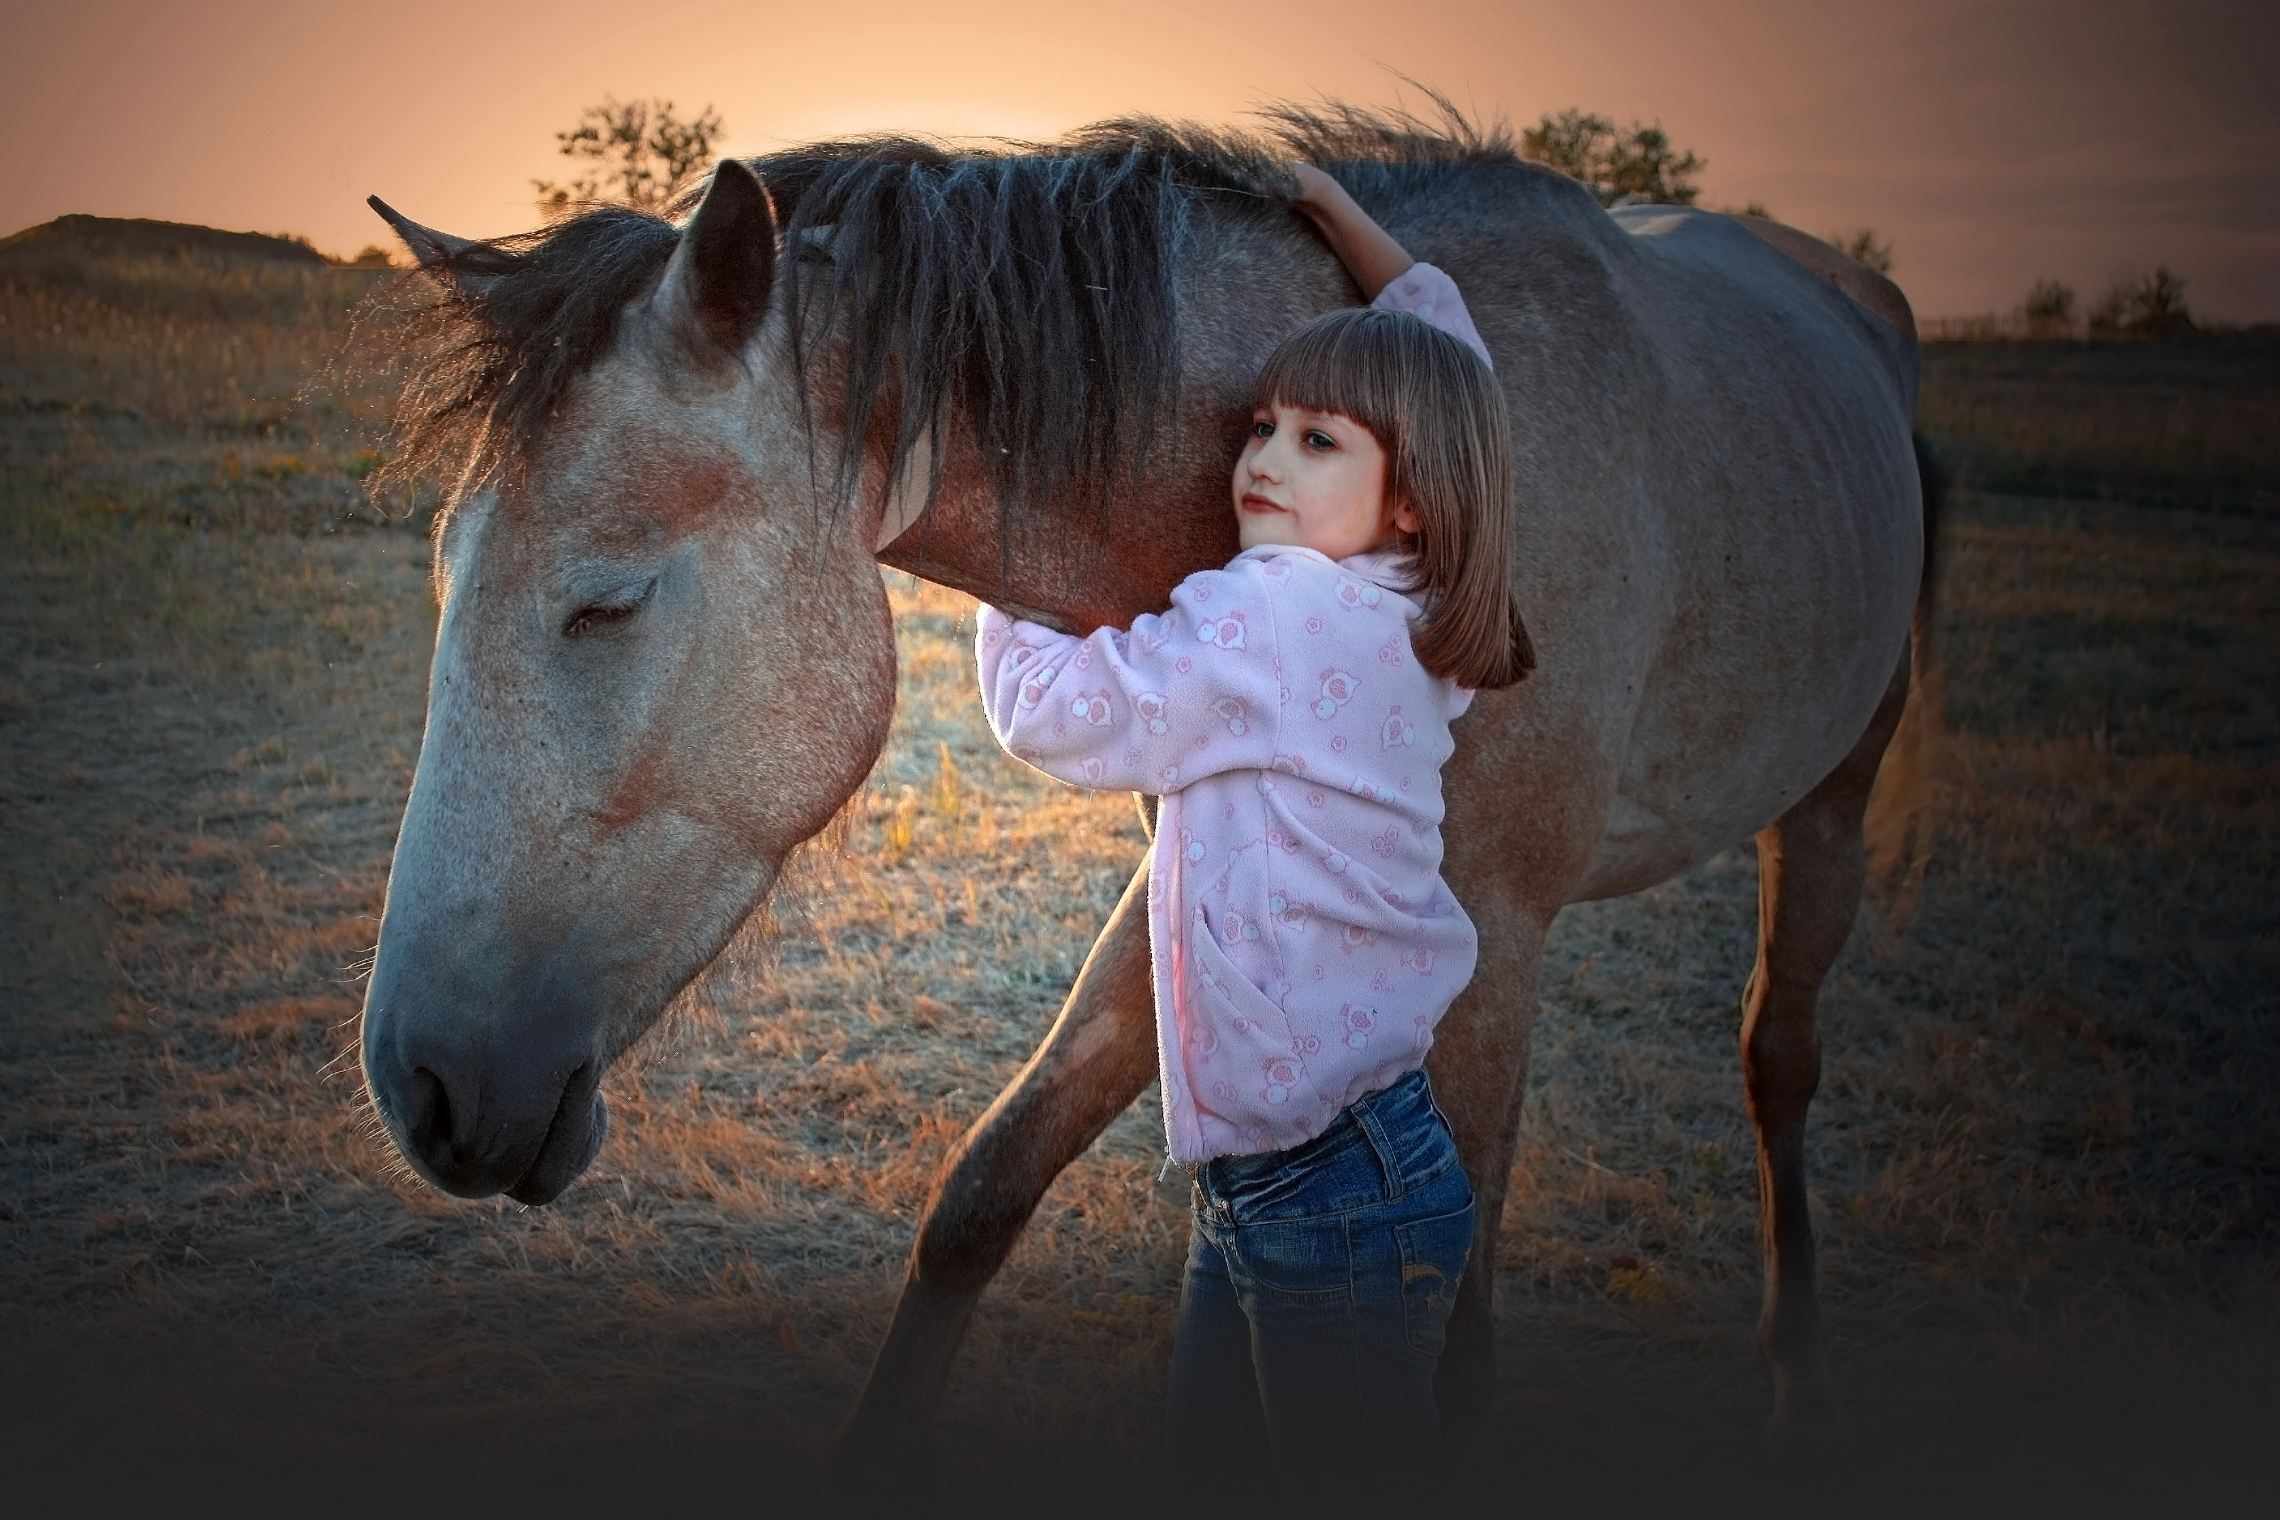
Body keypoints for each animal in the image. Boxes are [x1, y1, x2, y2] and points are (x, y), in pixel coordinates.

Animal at [355, 107, 1924, 1485]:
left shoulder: (1489, 945)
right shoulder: (1179, 876)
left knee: (1777, 1061)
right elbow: (987, 1184)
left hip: (1835, 798)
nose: (420, 1091)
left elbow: (1451, 1338)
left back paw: (1808, 1385)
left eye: (606, 604)